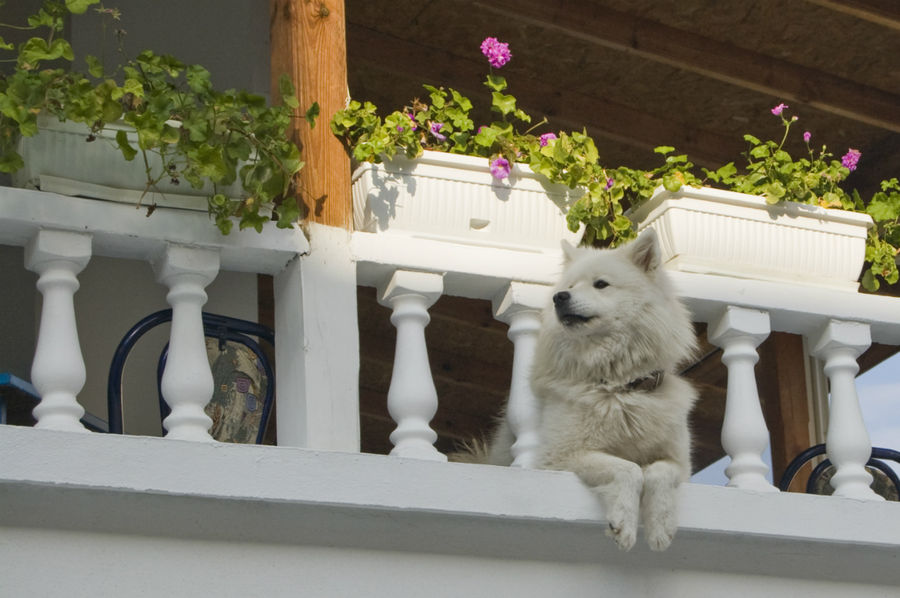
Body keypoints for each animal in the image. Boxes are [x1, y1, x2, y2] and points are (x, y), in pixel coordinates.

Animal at [486, 231, 696, 552]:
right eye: (570, 287)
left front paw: (660, 528)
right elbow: (628, 469)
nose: (559, 297)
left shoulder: (680, 462)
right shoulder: (561, 456)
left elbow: (659, 471)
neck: (618, 386)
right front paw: (624, 523)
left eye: (601, 284)